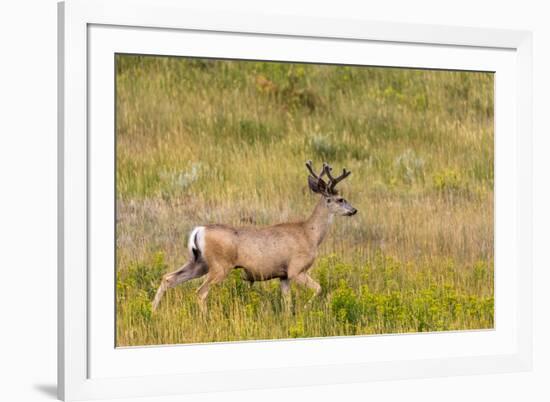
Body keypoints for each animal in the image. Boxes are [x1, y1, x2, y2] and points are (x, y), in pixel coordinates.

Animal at [152, 162, 358, 312]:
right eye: (340, 199)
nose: (354, 210)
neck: (310, 234)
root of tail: (199, 230)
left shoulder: (283, 275)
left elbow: (287, 301)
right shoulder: (296, 269)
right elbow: (319, 288)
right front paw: (306, 309)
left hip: (198, 262)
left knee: (168, 278)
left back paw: (152, 311)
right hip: (219, 266)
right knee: (200, 292)